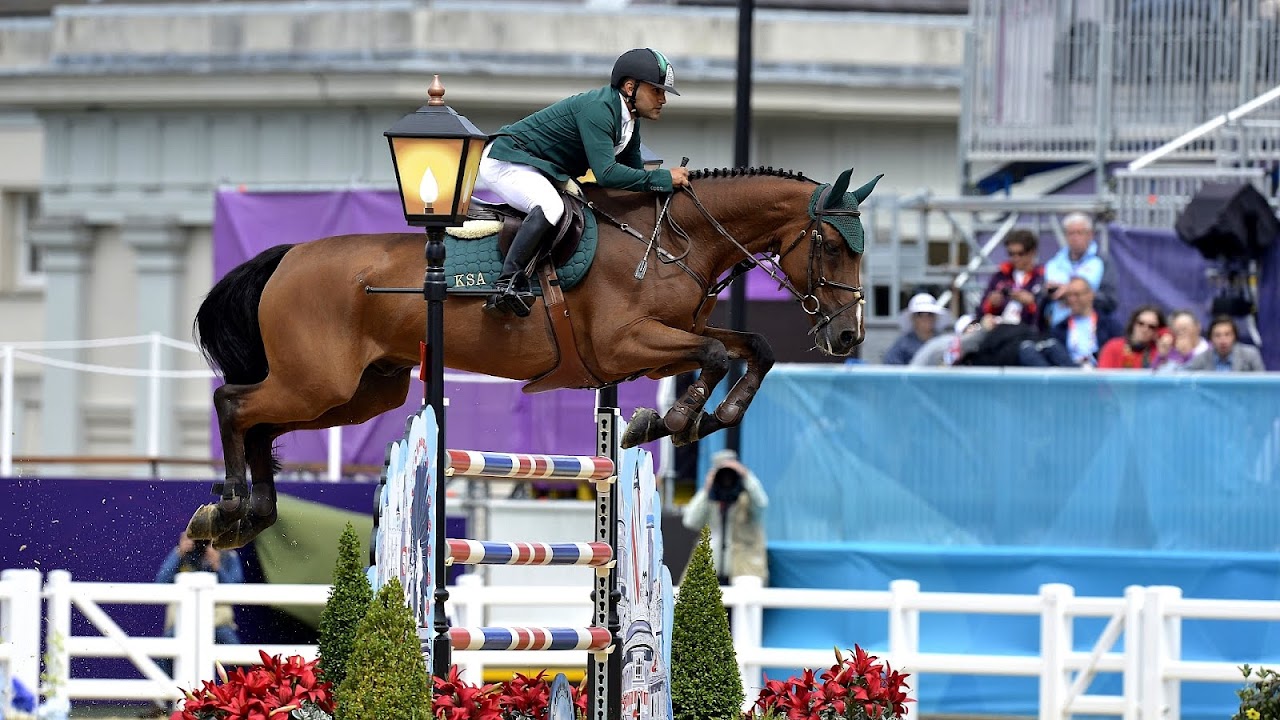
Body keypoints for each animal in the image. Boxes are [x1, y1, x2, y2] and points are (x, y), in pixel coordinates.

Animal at [189, 165, 880, 549]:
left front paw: (691, 419)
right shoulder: (627, 343)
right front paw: (672, 421)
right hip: (319, 382)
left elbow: (749, 349)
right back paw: (229, 505)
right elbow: (713, 353)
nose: (848, 338)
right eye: (832, 245)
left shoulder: (657, 346)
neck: (673, 240)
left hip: (360, 392)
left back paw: (246, 516)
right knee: (233, 403)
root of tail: (289, 256)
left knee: (261, 422)